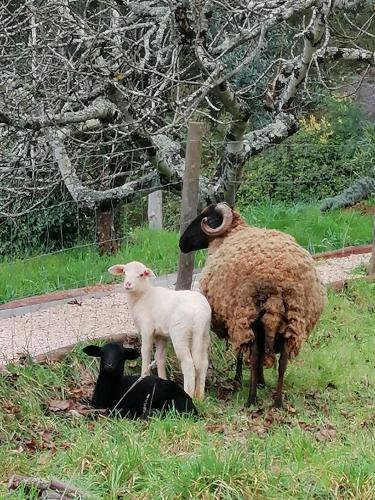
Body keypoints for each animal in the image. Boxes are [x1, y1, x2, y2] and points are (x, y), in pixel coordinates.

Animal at [110, 262, 213, 398]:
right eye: (124, 272)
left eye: (141, 274)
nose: (127, 284)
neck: (143, 296)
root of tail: (199, 313)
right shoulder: (161, 335)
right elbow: (160, 357)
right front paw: (163, 381)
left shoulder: (147, 327)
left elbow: (146, 351)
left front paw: (143, 377)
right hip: (204, 333)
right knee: (203, 363)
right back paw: (200, 396)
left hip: (180, 333)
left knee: (188, 364)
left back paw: (189, 394)